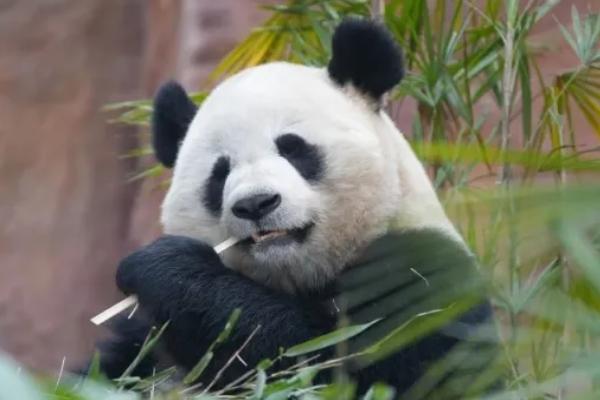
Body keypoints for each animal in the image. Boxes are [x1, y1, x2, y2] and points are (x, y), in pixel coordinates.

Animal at [96, 18, 500, 396]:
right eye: (220, 172)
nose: (255, 204)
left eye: (292, 148)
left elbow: (324, 362)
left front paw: (163, 266)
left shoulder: (424, 276)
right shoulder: (142, 342)